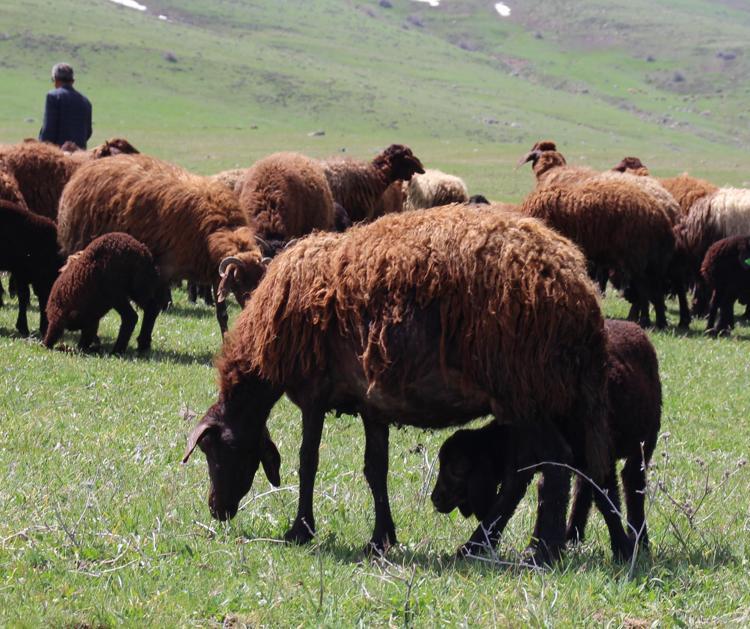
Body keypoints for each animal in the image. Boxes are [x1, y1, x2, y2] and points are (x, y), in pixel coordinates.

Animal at [57, 154, 266, 345]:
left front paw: (226, 340)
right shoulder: (163, 269)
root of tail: (85, 170)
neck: (217, 228)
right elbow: (153, 307)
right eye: (239, 281)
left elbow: (221, 314)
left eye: (260, 280)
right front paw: (144, 342)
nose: (253, 309)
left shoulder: (215, 273)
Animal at [182, 204, 611, 564]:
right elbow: (376, 469)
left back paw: (541, 550)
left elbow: (308, 462)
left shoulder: (313, 394)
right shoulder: (372, 403)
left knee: (554, 462)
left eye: (213, 451)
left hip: (523, 390)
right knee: (539, 470)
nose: (216, 509)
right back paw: (481, 544)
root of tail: (577, 287)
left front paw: (300, 530)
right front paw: (381, 538)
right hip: (543, 394)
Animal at [431, 319, 661, 560]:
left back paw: (640, 540)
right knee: (583, 488)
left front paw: (622, 549)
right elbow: (532, 493)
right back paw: (573, 535)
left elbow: (606, 498)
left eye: (456, 470)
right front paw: (531, 545)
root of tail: (633, 325)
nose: (435, 498)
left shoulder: (599, 453)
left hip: (646, 438)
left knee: (633, 482)